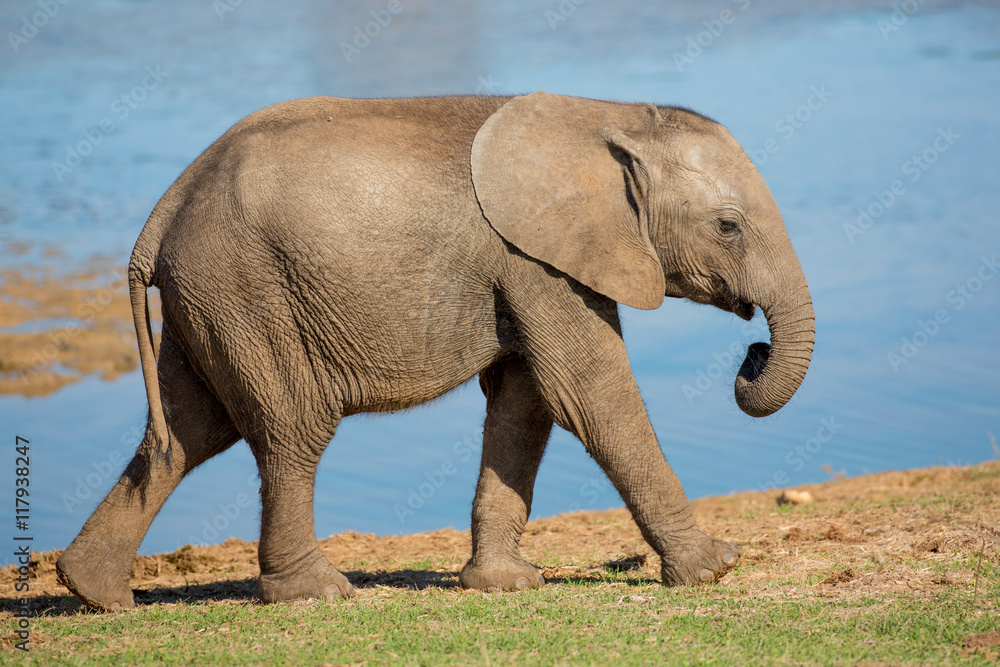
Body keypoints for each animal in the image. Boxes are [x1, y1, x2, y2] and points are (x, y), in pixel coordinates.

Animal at [56, 91, 814, 611]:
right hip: (248, 290)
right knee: (291, 429)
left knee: (187, 431)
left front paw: (504, 584)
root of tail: (165, 209)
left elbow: (525, 402)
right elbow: (588, 390)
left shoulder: (526, 265)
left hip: (214, 297)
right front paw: (715, 568)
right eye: (728, 226)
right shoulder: (538, 260)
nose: (751, 354)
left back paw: (96, 594)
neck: (608, 115)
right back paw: (316, 592)